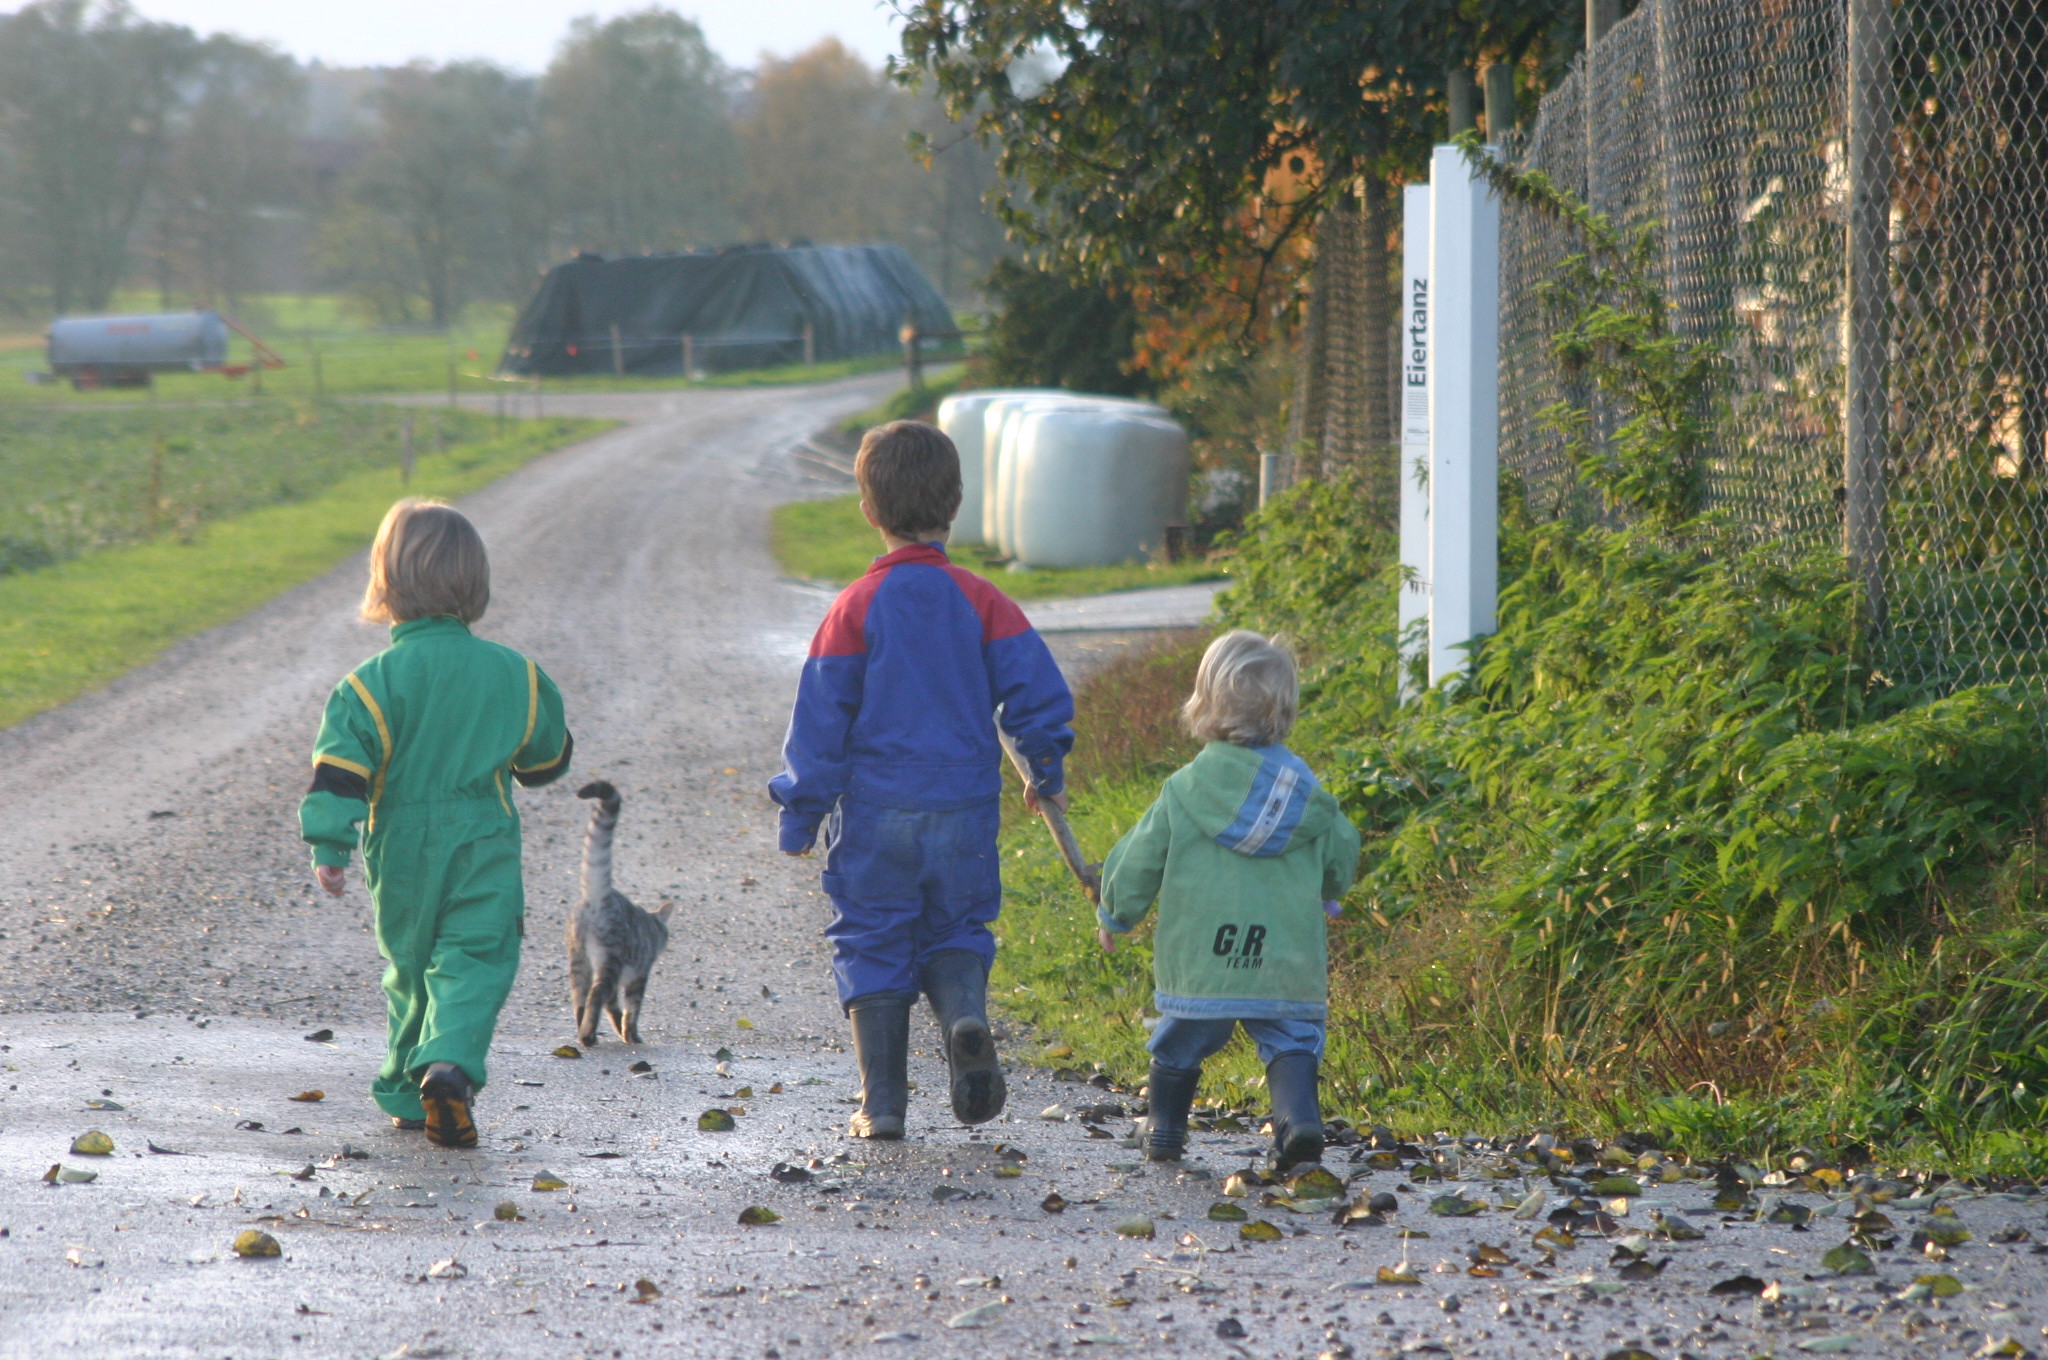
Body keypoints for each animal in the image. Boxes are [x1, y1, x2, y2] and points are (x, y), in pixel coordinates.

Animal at [569, 782, 671, 1044]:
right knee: (596, 994)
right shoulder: (639, 975)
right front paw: (632, 1035)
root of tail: (598, 897)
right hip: (610, 959)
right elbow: (631, 1009)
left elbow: (613, 1007)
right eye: (665, 936)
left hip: (578, 959)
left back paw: (584, 1030)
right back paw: (587, 1035)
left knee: (580, 999)